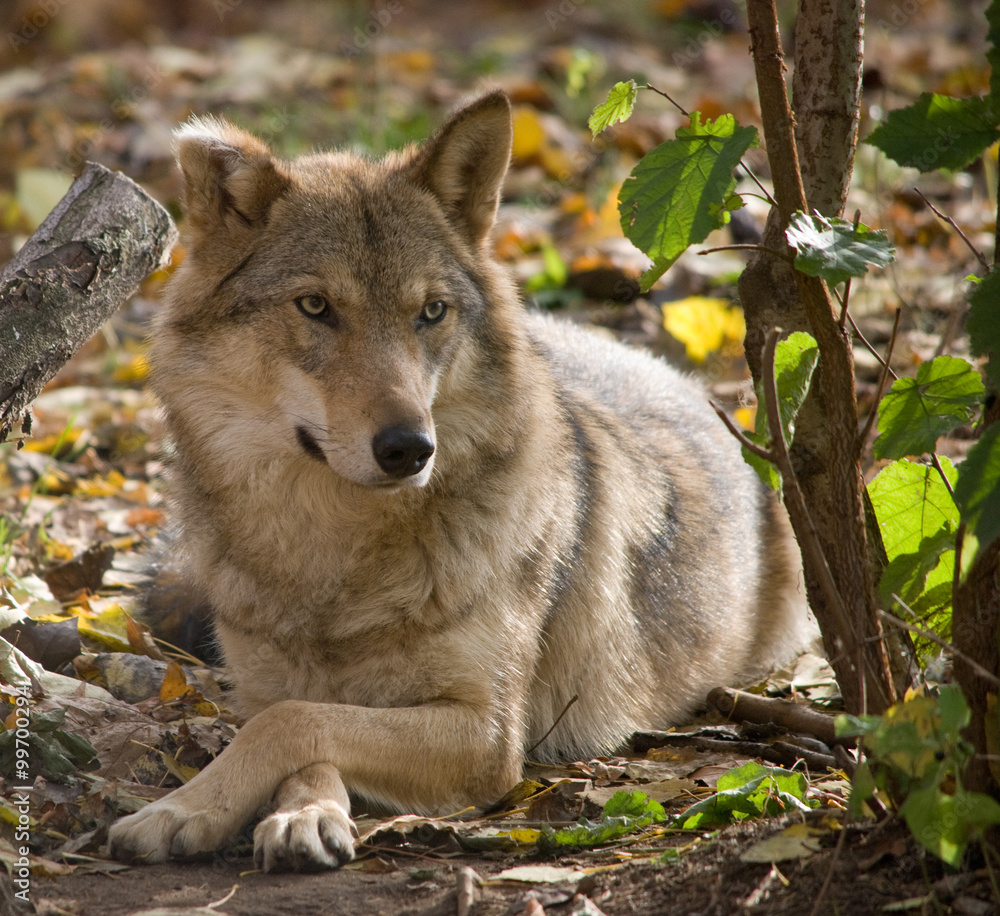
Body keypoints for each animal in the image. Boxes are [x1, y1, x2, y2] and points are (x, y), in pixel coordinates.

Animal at [108, 91, 811, 872]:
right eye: (316, 306)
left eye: (431, 312)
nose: (410, 449)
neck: (334, 567)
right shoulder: (263, 691)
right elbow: (293, 723)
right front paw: (281, 812)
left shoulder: (487, 733)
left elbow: (295, 724)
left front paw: (192, 809)